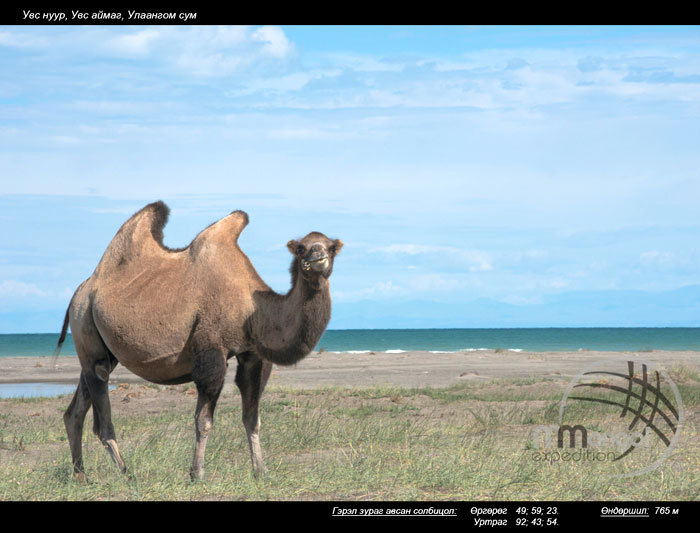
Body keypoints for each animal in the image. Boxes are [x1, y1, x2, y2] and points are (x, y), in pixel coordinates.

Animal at [53, 201, 344, 482]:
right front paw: (197, 474)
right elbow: (203, 420)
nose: (318, 256)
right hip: (85, 326)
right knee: (102, 420)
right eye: (302, 248)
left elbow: (252, 418)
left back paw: (80, 475)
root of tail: (81, 290)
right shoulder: (211, 351)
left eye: (331, 247)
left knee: (74, 411)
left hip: (99, 350)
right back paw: (127, 474)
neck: (253, 307)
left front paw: (260, 471)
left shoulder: (252, 354)